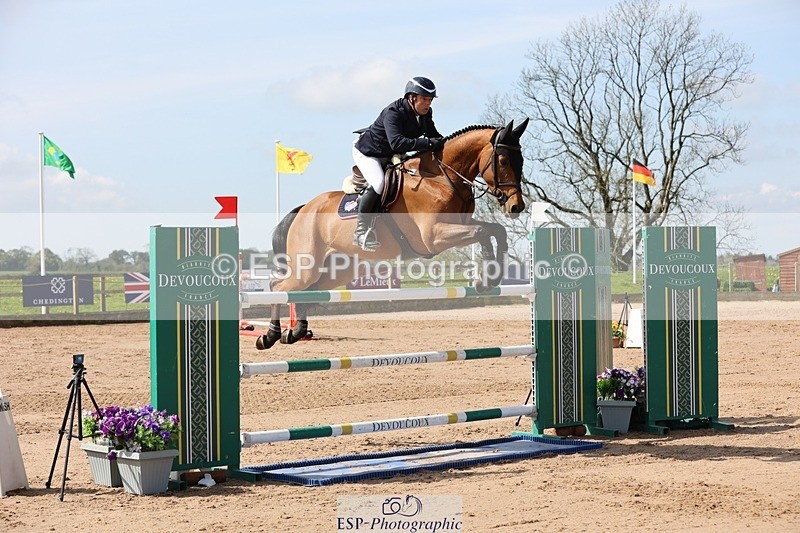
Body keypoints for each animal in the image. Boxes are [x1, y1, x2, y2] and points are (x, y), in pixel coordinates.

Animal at [255, 119, 529, 350]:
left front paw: (493, 275)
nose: (516, 207)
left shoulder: (461, 224)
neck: (442, 177)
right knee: (278, 286)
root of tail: (304, 209)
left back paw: (295, 332)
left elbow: (496, 230)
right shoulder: (433, 237)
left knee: (307, 291)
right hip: (307, 265)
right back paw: (269, 336)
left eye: (521, 161)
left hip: (339, 269)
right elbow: (482, 232)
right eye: (503, 161)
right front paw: (485, 280)